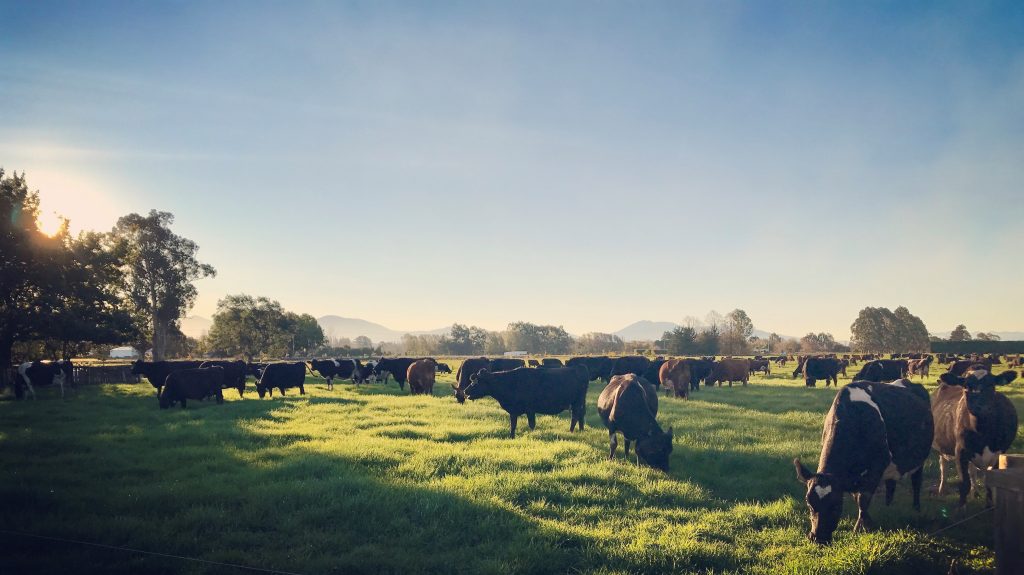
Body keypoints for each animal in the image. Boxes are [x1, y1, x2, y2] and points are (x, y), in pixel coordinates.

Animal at [794, 380, 933, 544]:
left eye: (836, 505)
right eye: (809, 503)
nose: (818, 537)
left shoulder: (877, 467)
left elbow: (863, 499)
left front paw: (861, 527)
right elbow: (858, 498)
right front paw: (867, 521)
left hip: (920, 460)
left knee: (916, 481)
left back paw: (916, 508)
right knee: (891, 484)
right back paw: (888, 507)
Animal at [932, 367, 1018, 507]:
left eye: (991, 385)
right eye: (967, 386)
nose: (979, 406)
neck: (982, 431)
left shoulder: (998, 454)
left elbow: (990, 482)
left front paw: (989, 506)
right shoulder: (960, 452)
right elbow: (964, 484)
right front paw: (961, 508)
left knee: (972, 471)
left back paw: (975, 492)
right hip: (942, 446)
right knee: (943, 466)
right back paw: (942, 489)